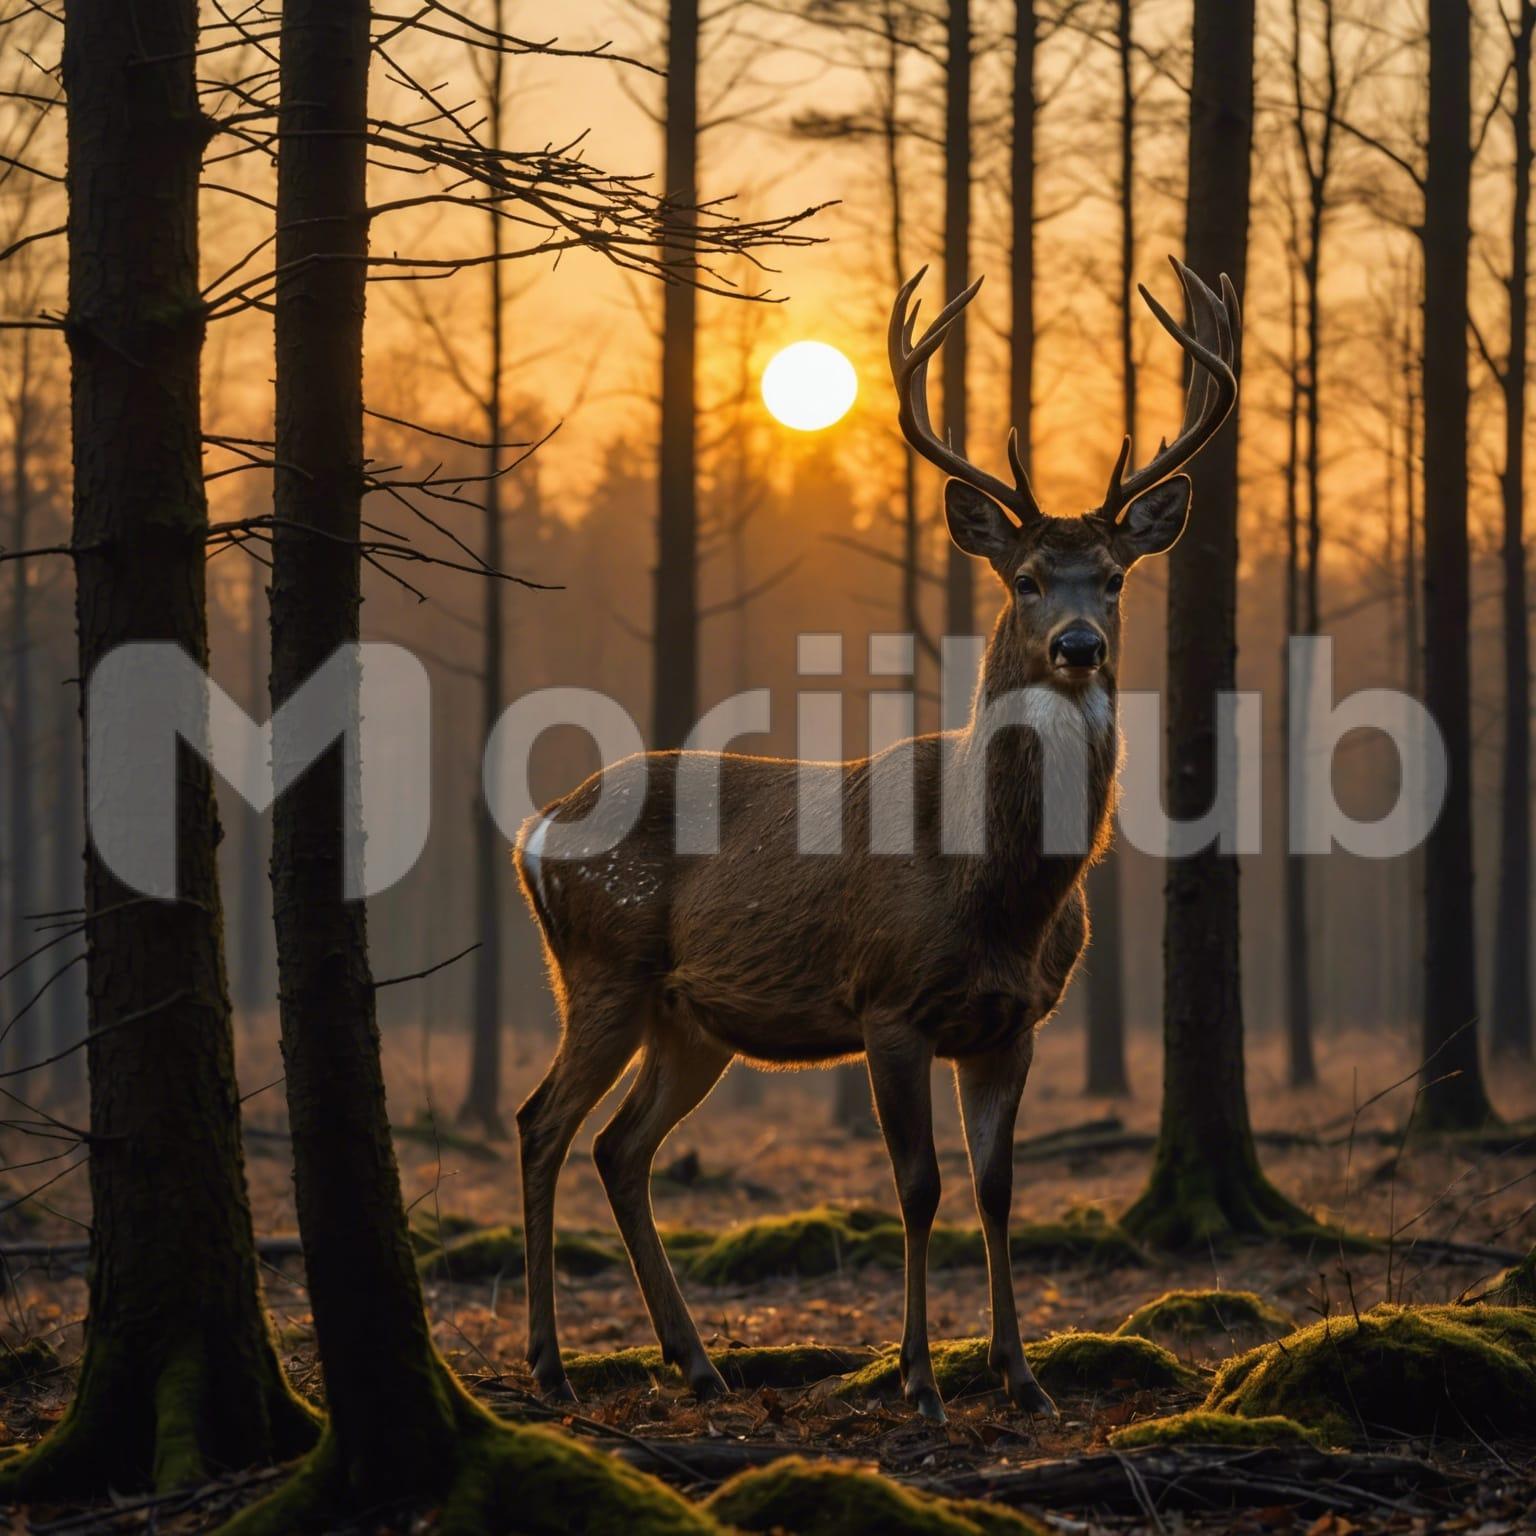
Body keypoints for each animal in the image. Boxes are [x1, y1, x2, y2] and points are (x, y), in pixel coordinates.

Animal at [513, 257, 1239, 1424]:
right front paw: (921, 1380)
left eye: (1117, 576)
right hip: (603, 966)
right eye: (1024, 579)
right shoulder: (889, 1003)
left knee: (621, 1150)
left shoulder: (1014, 1021)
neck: (1001, 892)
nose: (1079, 646)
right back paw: (549, 1363)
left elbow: (997, 1189)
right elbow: (918, 1186)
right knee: (544, 1125)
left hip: (692, 1019)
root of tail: (532, 830)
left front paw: (1021, 1376)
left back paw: (698, 1362)